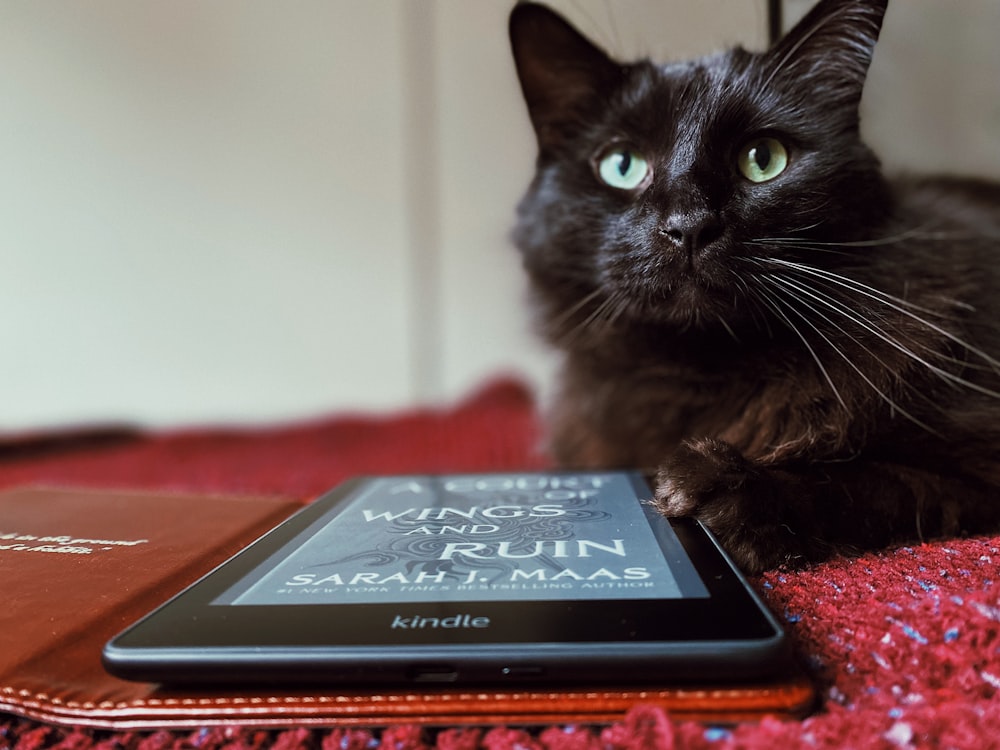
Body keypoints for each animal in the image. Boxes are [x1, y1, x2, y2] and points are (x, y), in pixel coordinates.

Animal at [508, 0, 1000, 572]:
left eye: (763, 158)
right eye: (622, 165)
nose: (688, 225)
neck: (703, 370)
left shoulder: (976, 467)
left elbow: (873, 484)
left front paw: (723, 487)